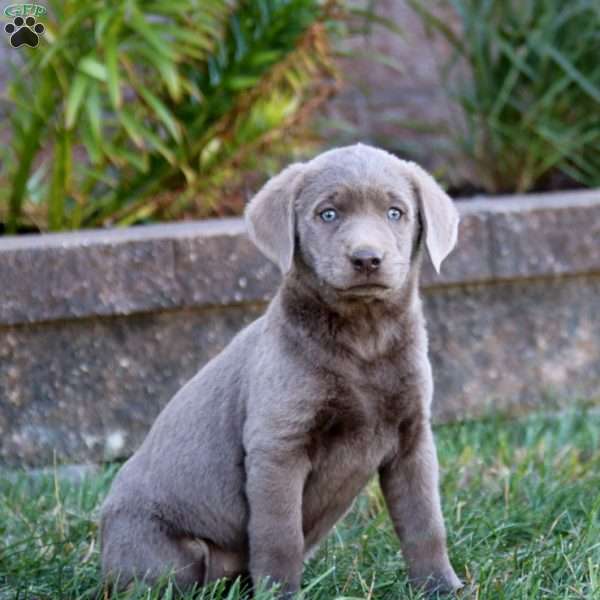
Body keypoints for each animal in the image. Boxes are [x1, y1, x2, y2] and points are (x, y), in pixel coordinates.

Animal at [101, 144, 462, 596]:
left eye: (396, 213)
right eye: (328, 214)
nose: (367, 258)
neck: (364, 338)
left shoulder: (413, 437)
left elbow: (425, 522)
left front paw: (441, 586)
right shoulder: (278, 446)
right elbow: (280, 536)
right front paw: (282, 594)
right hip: (163, 552)